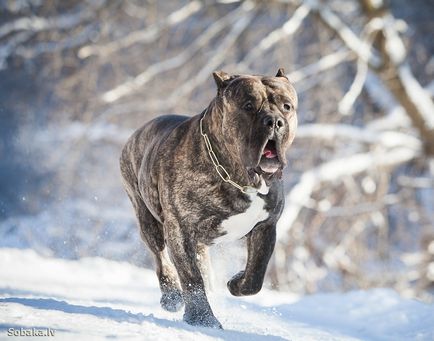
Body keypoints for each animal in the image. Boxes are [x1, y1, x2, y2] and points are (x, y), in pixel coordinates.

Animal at [120, 68, 296, 326]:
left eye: (287, 106)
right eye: (248, 106)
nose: (274, 121)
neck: (239, 177)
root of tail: (135, 134)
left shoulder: (266, 226)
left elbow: (256, 273)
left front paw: (236, 282)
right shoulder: (180, 230)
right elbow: (191, 279)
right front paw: (202, 319)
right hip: (147, 220)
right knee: (160, 256)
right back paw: (172, 295)